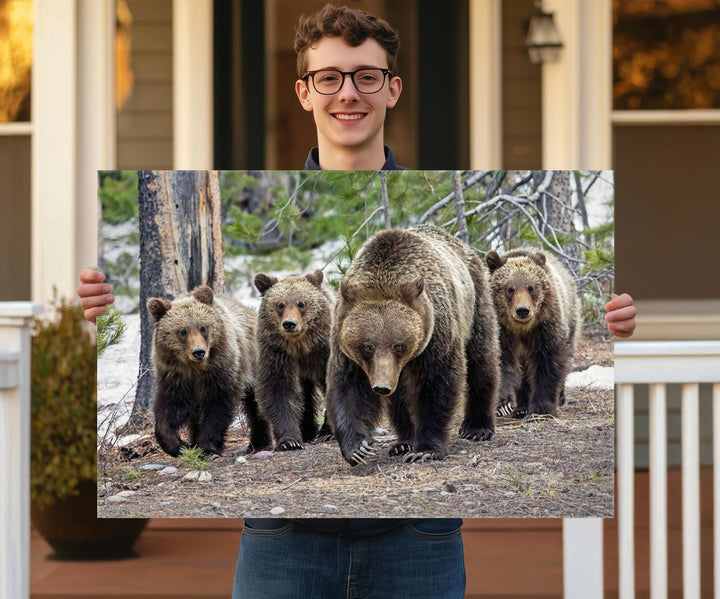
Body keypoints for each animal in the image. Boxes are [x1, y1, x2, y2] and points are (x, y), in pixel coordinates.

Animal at [145, 288, 272, 458]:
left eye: (203, 327)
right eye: (183, 331)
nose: (199, 352)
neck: (195, 369)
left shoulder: (220, 371)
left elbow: (217, 406)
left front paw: (207, 447)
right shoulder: (174, 377)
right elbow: (168, 409)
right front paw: (179, 445)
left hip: (253, 362)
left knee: (256, 403)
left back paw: (259, 443)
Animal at [253, 270, 334, 450]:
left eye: (301, 303)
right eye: (280, 304)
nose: (289, 323)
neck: (300, 346)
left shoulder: (323, 352)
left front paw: (328, 432)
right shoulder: (278, 354)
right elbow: (279, 391)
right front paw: (290, 441)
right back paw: (307, 431)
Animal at [324, 226, 498, 468]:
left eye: (398, 345)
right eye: (368, 346)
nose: (381, 386)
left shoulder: (436, 331)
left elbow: (437, 383)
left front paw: (425, 450)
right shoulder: (344, 341)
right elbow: (348, 387)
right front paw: (357, 448)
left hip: (474, 303)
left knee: (481, 360)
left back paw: (477, 427)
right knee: (399, 398)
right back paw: (403, 442)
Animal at [484, 248, 580, 418]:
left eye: (531, 287)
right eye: (510, 288)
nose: (522, 310)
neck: (522, 329)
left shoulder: (544, 327)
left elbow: (547, 362)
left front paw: (542, 409)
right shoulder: (502, 332)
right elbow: (502, 363)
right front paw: (503, 404)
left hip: (570, 318)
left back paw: (560, 397)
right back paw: (521, 407)